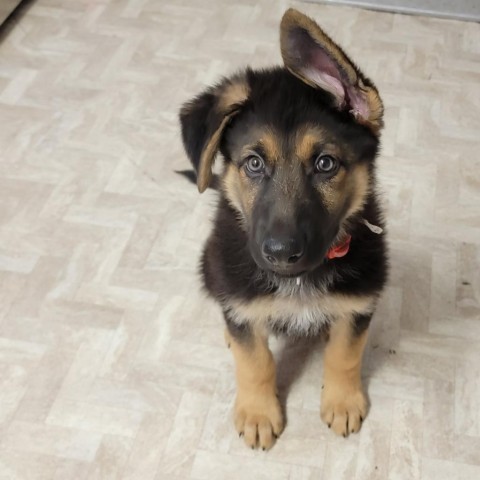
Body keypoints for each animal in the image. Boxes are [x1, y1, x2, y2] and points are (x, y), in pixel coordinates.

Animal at [179, 7, 386, 450]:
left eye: (325, 164)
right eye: (254, 163)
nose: (280, 253)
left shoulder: (359, 302)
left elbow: (346, 354)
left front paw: (343, 401)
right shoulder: (241, 299)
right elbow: (254, 360)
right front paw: (258, 412)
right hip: (211, 265)